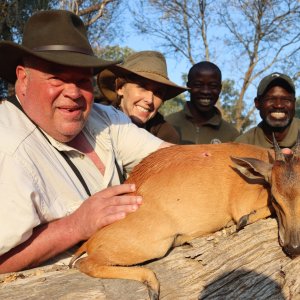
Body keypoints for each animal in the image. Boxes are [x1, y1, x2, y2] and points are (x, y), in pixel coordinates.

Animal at [69, 141, 300, 300]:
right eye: (275, 198)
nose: (293, 247)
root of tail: (90, 241)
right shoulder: (243, 206)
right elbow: (246, 217)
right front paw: (234, 225)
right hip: (155, 246)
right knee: (85, 264)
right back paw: (151, 282)